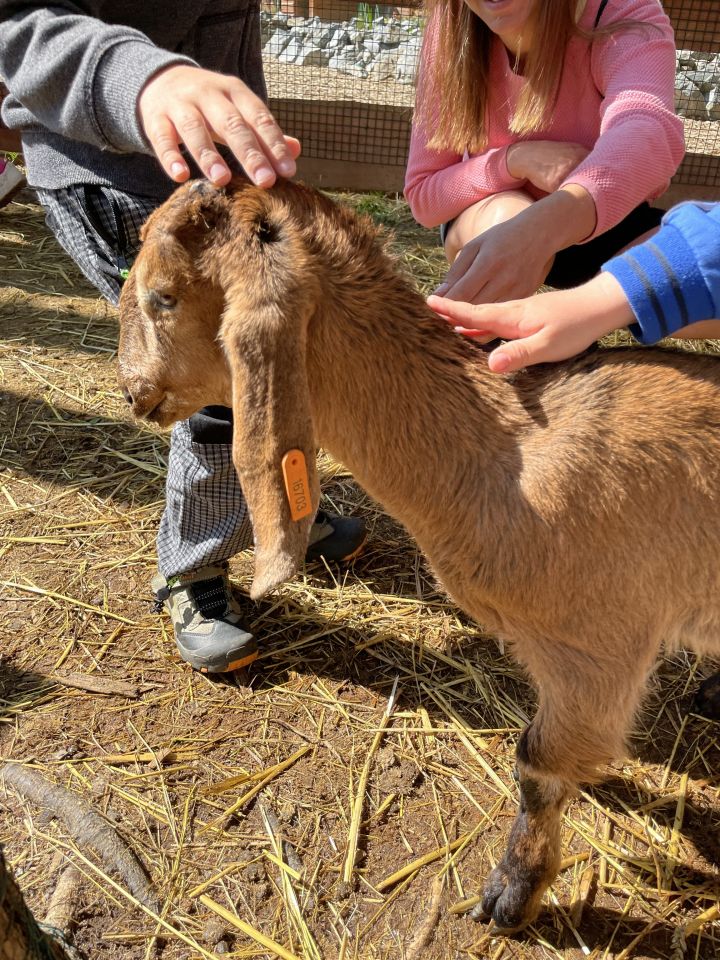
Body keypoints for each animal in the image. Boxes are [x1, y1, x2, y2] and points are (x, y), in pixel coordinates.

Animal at [116, 178, 720, 928]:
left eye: (163, 296)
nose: (131, 390)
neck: (505, 453)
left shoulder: (596, 646)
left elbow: (538, 764)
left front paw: (511, 894)